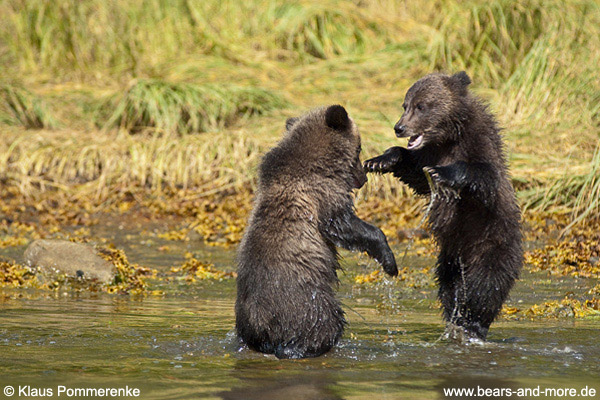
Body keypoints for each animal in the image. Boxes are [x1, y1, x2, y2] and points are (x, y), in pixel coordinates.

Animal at [236, 104, 398, 360]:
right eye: (359, 147)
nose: (363, 178)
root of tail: (260, 326)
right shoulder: (323, 195)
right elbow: (344, 225)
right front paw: (390, 262)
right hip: (307, 300)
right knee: (325, 322)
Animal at [364, 72, 524, 340]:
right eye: (405, 105)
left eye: (421, 106)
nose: (399, 127)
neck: (447, 137)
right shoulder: (427, 154)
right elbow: (416, 174)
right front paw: (379, 160)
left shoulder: (480, 144)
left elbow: (485, 175)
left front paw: (443, 173)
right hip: (449, 258)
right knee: (450, 289)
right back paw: (455, 318)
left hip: (493, 244)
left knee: (485, 286)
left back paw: (474, 323)